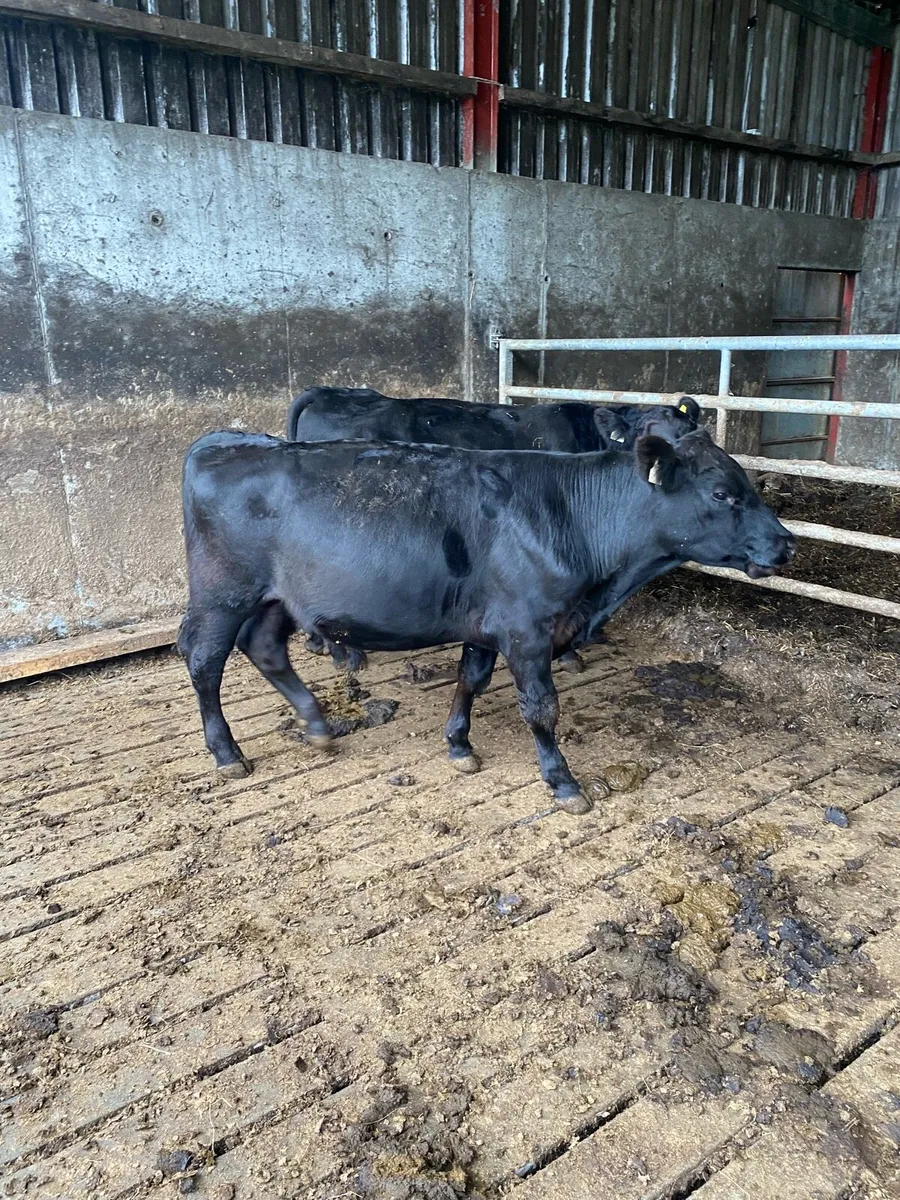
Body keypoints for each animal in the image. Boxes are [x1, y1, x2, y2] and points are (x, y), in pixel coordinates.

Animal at [178, 428, 794, 815]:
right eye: (722, 492)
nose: (786, 543)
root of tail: (225, 440)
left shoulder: (487, 625)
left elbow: (469, 680)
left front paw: (458, 744)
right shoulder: (527, 628)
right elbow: (541, 708)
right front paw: (562, 781)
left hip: (273, 599)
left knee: (264, 648)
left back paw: (316, 723)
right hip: (222, 593)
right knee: (205, 660)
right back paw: (227, 754)